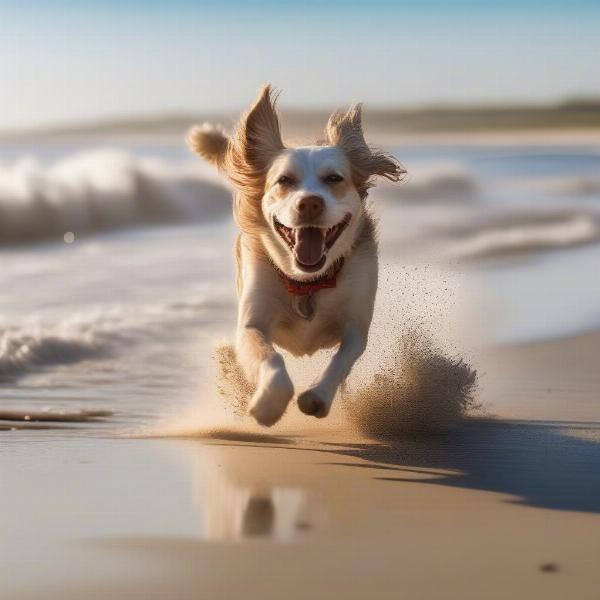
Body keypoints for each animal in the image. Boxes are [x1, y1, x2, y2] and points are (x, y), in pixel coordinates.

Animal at [188, 85, 404, 426]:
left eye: (334, 179)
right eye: (284, 181)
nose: (310, 203)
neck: (307, 282)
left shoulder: (356, 325)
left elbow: (341, 360)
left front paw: (318, 397)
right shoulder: (252, 323)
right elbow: (270, 358)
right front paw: (267, 404)